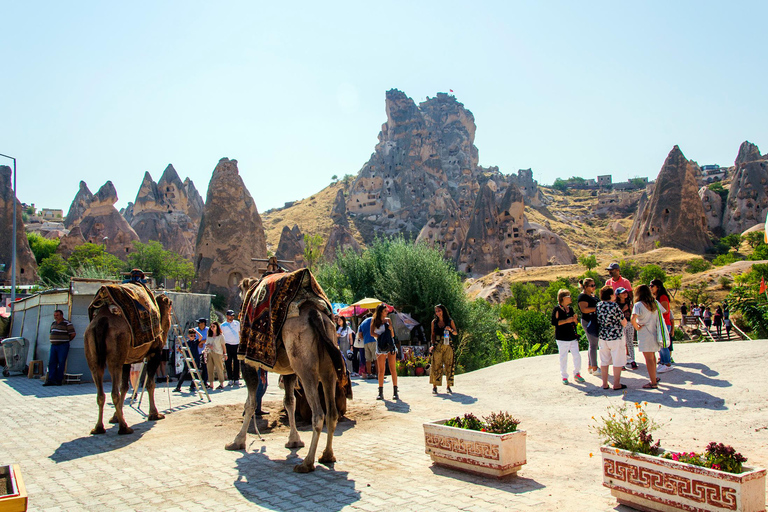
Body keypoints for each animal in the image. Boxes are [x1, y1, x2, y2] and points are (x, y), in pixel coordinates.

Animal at [85, 290, 173, 434]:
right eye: (170, 304)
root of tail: (102, 321)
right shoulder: (154, 354)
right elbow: (150, 384)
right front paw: (154, 414)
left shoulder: (127, 360)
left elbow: (125, 386)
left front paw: (115, 416)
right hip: (116, 350)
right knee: (114, 391)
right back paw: (124, 427)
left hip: (93, 352)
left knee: (100, 389)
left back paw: (98, 427)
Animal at [224, 274, 340, 474]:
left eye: (240, 292)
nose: (237, 312)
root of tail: (315, 314)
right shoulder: (289, 371)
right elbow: (289, 402)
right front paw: (294, 440)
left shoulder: (246, 361)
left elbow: (250, 403)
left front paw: (237, 441)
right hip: (327, 368)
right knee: (332, 412)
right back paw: (327, 455)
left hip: (305, 368)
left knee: (318, 414)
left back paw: (306, 463)